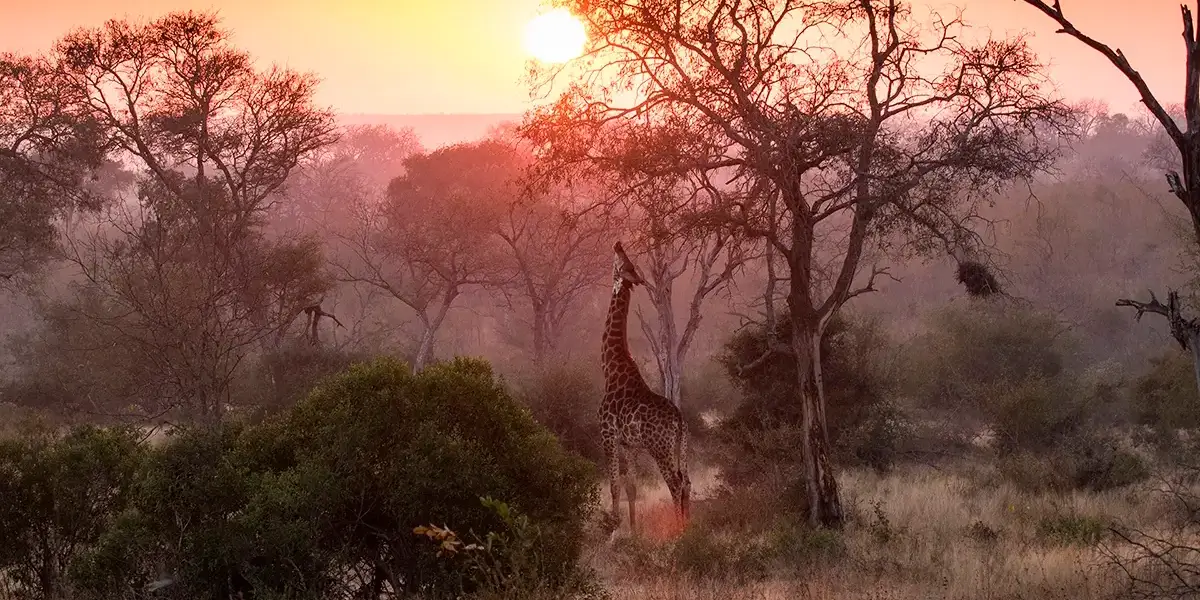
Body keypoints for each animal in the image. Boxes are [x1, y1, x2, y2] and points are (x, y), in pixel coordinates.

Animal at [599, 241, 691, 535]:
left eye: (624, 262)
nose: (617, 243)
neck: (610, 368)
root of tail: (679, 419)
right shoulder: (629, 444)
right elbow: (631, 487)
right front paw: (633, 529)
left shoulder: (607, 435)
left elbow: (614, 486)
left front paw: (614, 529)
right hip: (680, 445)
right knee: (687, 481)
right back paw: (690, 526)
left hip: (660, 447)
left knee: (675, 482)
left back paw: (679, 532)